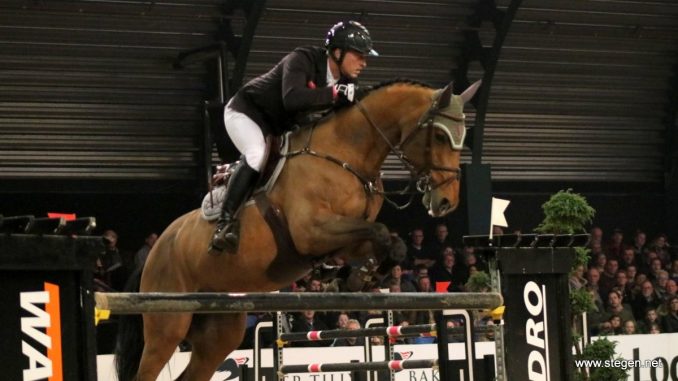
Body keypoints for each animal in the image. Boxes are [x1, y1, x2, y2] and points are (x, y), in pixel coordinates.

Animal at [114, 78, 480, 378]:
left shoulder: (343, 236)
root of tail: (158, 247)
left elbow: (389, 242)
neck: (346, 153)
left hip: (219, 330)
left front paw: (354, 278)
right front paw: (354, 278)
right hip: (168, 325)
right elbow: (377, 231)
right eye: (439, 135)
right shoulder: (311, 232)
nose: (447, 202)